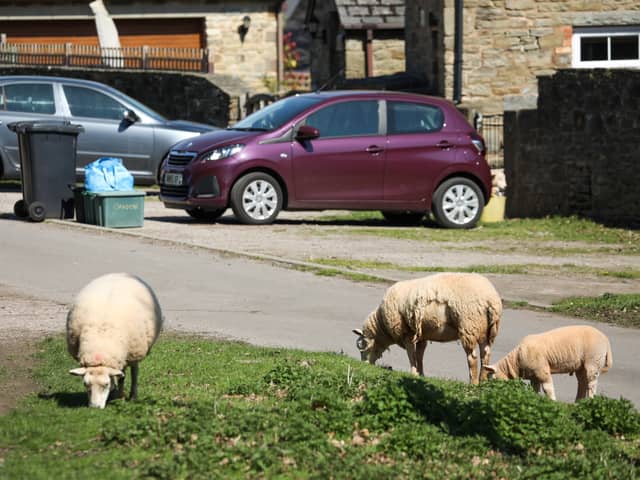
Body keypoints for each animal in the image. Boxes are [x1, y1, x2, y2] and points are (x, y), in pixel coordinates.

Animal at [65, 272, 162, 406]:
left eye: (105, 384)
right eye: (85, 384)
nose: (94, 407)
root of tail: (120, 273)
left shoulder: (133, 354)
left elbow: (127, 375)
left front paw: (124, 397)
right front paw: (117, 395)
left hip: (134, 351)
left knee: (133, 372)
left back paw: (131, 395)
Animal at [352, 272, 502, 384]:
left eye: (363, 346)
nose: (363, 365)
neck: (382, 327)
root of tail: (491, 299)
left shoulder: (407, 334)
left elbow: (411, 355)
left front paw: (413, 374)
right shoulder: (422, 335)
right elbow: (420, 355)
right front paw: (421, 374)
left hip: (469, 325)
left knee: (472, 358)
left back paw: (473, 382)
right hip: (485, 330)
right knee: (485, 354)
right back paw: (483, 381)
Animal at [482, 326, 612, 402]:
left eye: (493, 379)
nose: (491, 393)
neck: (516, 360)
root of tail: (606, 340)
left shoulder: (541, 370)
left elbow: (547, 388)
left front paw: (552, 402)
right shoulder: (534, 375)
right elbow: (535, 389)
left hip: (593, 359)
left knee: (591, 383)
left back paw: (589, 401)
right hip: (581, 365)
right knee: (583, 381)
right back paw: (578, 402)